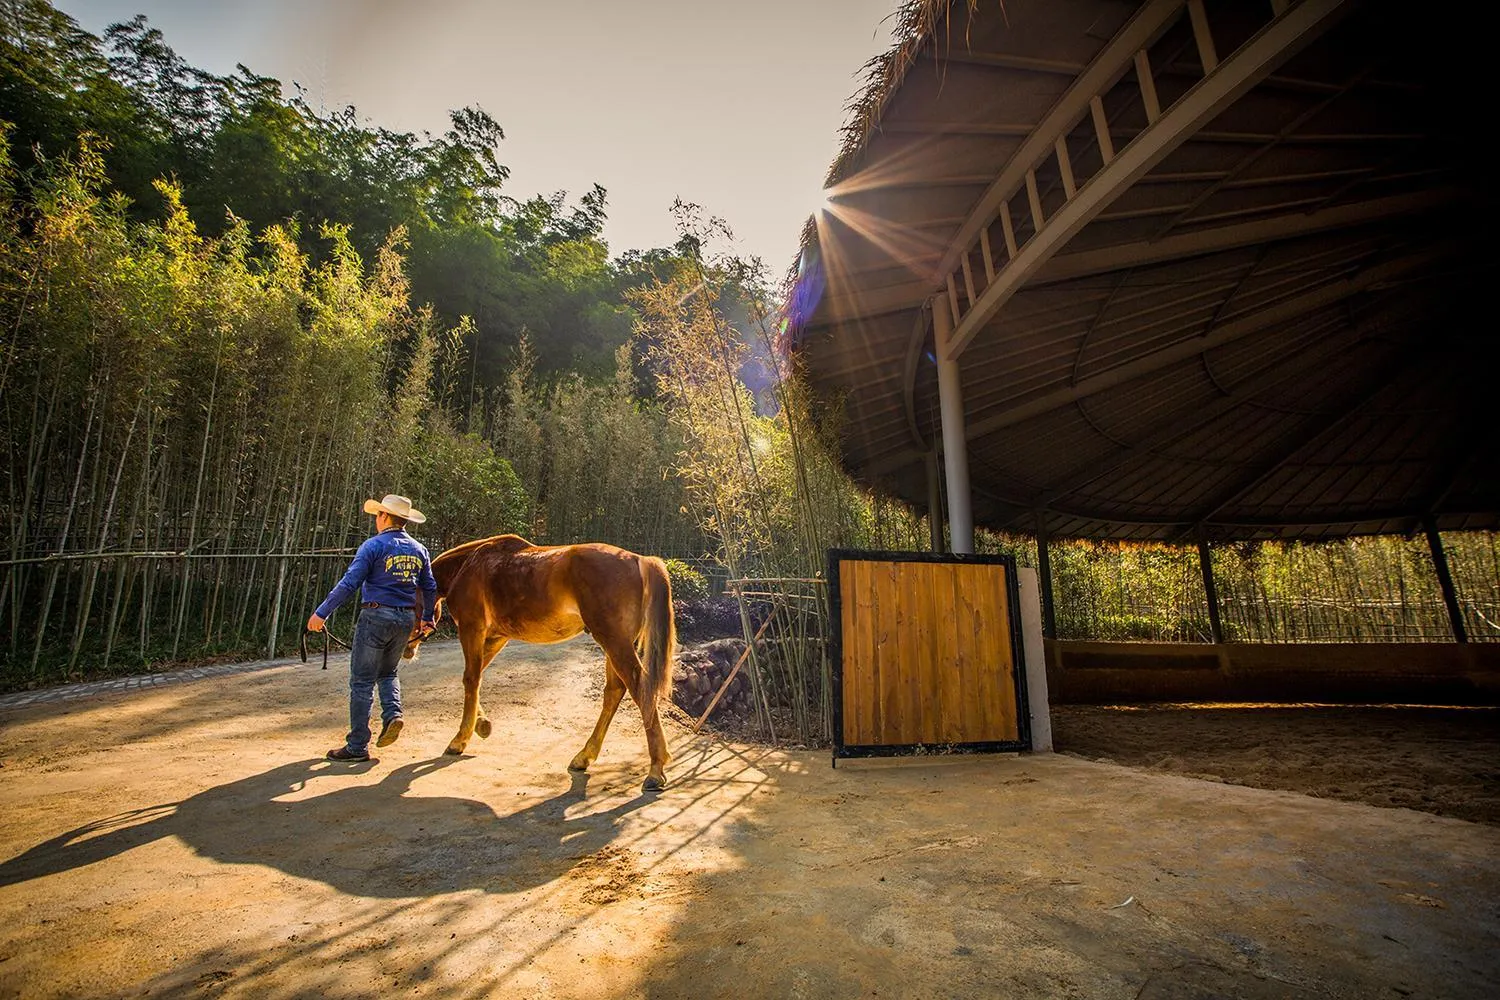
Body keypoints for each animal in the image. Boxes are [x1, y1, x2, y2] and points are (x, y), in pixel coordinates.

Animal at [403, 535, 677, 791]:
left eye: (408, 604)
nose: (406, 649)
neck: (469, 565)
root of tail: (639, 560)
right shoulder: (497, 637)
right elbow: (473, 676)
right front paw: (481, 724)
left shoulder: (472, 630)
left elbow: (471, 678)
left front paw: (460, 739)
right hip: (615, 644)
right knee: (614, 692)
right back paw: (584, 756)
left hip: (614, 641)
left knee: (640, 689)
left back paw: (655, 769)